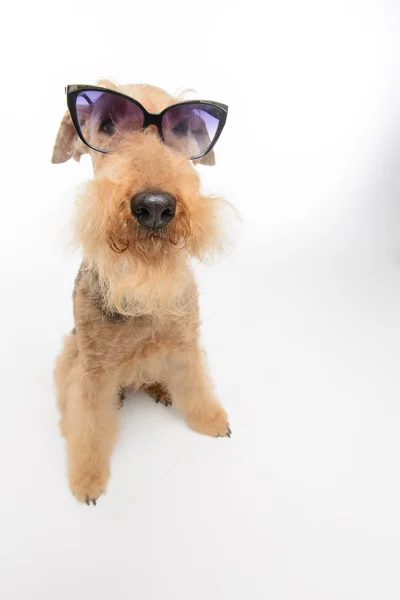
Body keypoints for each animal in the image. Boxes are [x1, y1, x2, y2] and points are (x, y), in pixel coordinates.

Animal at [52, 78, 231, 502]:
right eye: (107, 124)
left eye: (181, 129)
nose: (154, 206)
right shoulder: (93, 369)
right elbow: (88, 423)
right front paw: (87, 480)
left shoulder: (185, 345)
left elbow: (195, 384)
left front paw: (211, 420)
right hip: (70, 350)